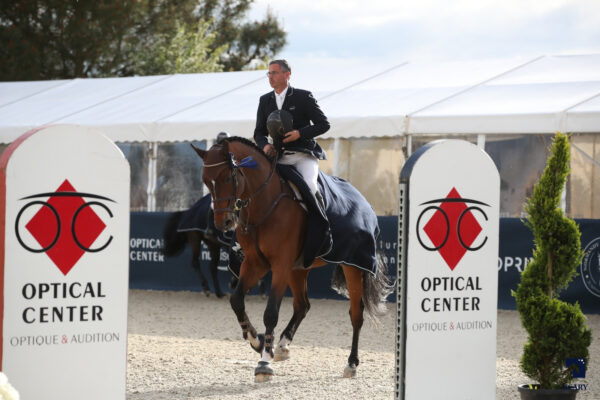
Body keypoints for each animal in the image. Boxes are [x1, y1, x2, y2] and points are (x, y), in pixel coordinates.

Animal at [190, 137, 392, 382]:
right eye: (205, 181)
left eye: (228, 177)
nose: (223, 223)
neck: (264, 203)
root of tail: (365, 202)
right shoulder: (255, 263)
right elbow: (236, 300)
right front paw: (257, 341)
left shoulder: (280, 265)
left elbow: (270, 313)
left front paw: (264, 363)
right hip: (299, 269)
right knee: (302, 305)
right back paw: (282, 346)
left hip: (352, 266)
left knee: (356, 314)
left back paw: (351, 363)